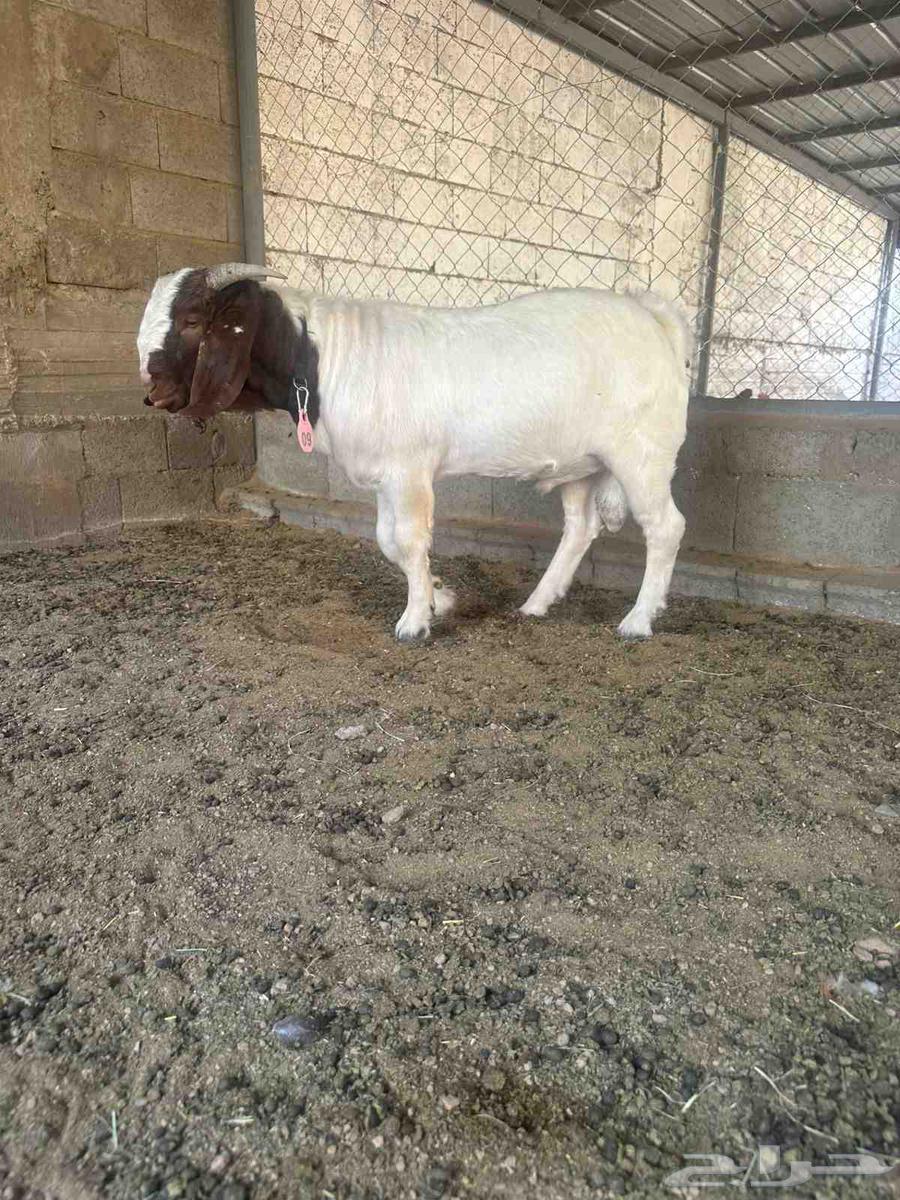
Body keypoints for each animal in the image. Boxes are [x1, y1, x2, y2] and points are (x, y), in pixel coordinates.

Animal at [137, 262, 690, 641]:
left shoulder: (408, 469)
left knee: (666, 526)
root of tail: (654, 315)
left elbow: (407, 539)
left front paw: (414, 621)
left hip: (643, 454)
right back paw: (537, 603)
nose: (153, 393)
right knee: (580, 527)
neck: (321, 357)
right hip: (581, 463)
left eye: (192, 321)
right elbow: (388, 542)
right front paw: (439, 598)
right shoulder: (386, 473)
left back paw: (638, 620)